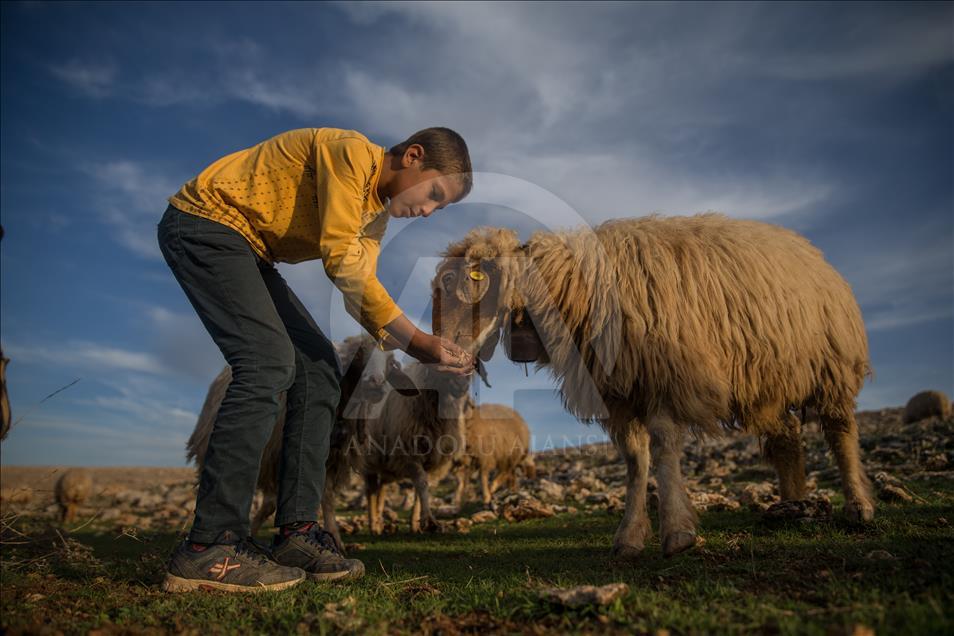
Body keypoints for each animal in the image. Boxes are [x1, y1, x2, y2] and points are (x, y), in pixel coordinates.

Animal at [184, 332, 414, 552]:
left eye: (390, 362)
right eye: (358, 355)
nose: (376, 383)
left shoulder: (332, 459)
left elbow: (327, 499)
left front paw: (335, 538)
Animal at [360, 360, 472, 536]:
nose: (462, 385)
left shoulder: (432, 460)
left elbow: (422, 489)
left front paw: (416, 524)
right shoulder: (409, 454)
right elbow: (421, 485)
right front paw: (430, 521)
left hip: (386, 464)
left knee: (382, 488)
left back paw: (379, 521)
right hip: (368, 459)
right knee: (371, 489)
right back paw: (373, 526)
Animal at [432, 212, 872, 556]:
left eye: (459, 282)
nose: (445, 353)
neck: (573, 288)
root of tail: (808, 249)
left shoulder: (664, 377)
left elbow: (662, 448)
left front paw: (677, 532)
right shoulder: (619, 394)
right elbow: (634, 460)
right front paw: (629, 535)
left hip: (832, 367)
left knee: (839, 431)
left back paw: (858, 506)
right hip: (767, 382)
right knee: (787, 438)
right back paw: (794, 504)